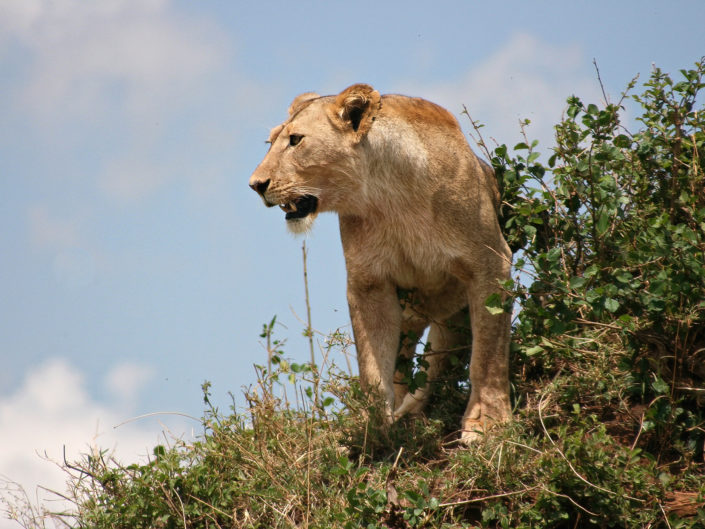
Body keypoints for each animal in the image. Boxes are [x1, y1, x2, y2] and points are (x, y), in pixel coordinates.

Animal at [249, 83, 512, 443]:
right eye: (271, 141)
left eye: (296, 140)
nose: (255, 185)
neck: (390, 197)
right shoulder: (369, 284)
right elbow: (373, 368)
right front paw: (374, 429)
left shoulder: (490, 263)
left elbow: (488, 354)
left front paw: (488, 424)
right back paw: (405, 414)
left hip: (451, 316)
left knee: (439, 363)